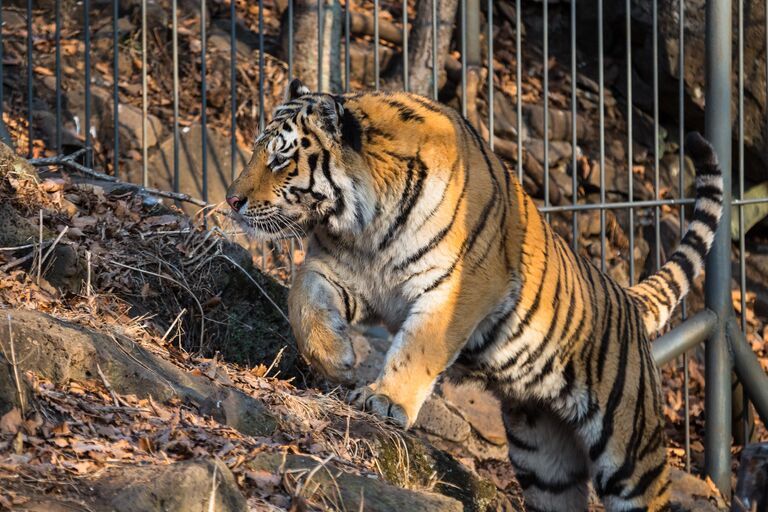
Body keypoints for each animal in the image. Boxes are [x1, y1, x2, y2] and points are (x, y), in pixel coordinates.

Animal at [225, 77, 724, 512]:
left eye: (280, 159)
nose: (231, 200)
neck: (366, 225)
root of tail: (627, 297)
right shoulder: (338, 269)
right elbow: (302, 297)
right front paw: (336, 359)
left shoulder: (455, 288)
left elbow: (418, 348)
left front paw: (385, 400)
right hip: (543, 458)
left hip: (629, 453)